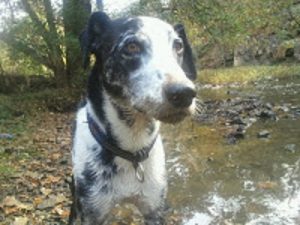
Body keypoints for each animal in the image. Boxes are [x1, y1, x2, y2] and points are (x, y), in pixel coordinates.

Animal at [69, 12, 198, 225]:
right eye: (131, 46)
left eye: (178, 45)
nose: (184, 93)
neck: (131, 150)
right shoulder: (92, 212)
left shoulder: (154, 210)